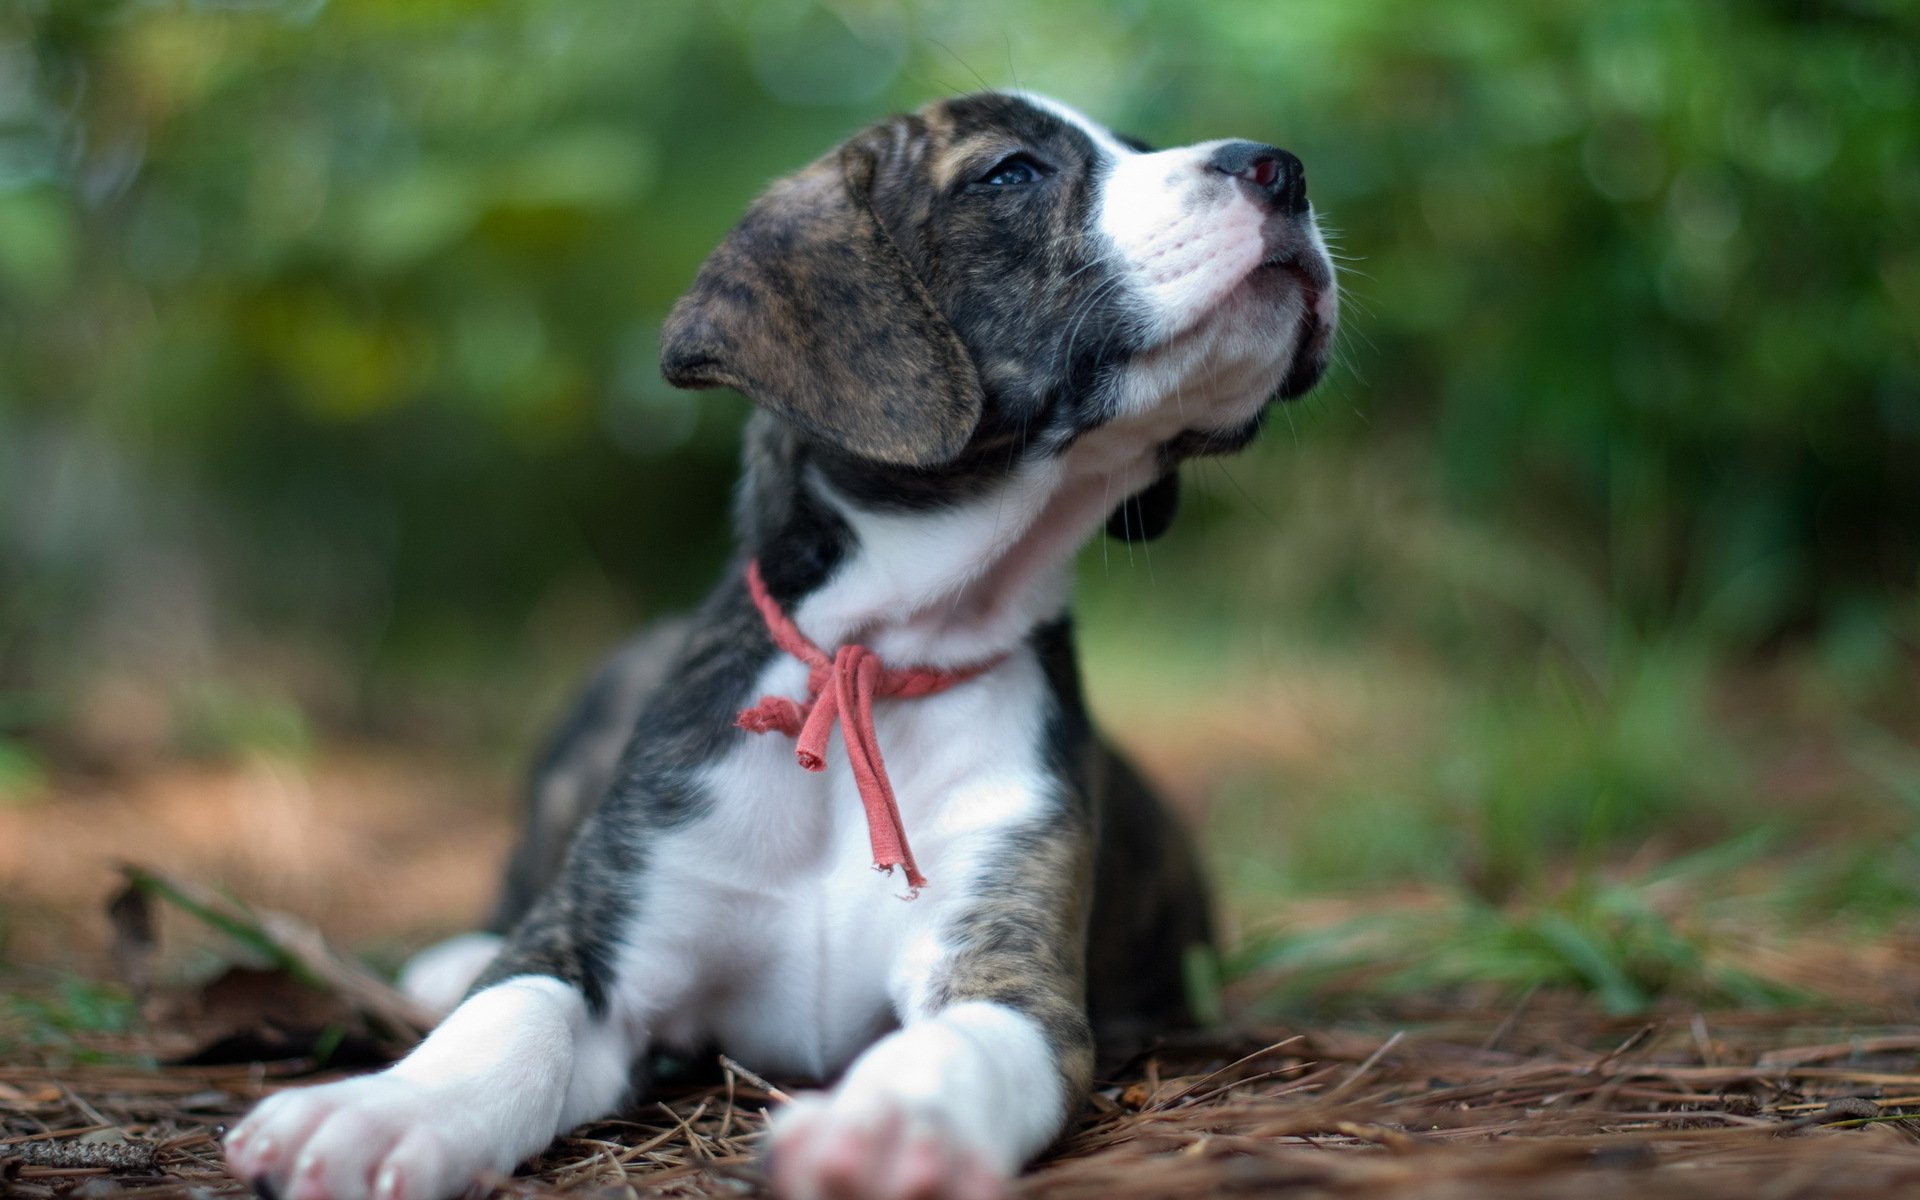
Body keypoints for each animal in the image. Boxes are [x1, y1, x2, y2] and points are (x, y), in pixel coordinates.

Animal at [224, 91, 1336, 1198]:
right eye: (1012, 172)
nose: (1281, 169)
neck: (883, 657)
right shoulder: (606, 934)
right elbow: (511, 1014)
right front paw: (382, 1110)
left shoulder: (1009, 970)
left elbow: (957, 1049)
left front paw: (890, 1126)